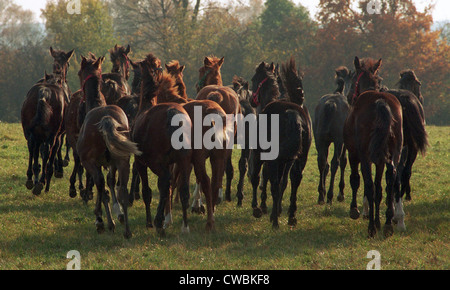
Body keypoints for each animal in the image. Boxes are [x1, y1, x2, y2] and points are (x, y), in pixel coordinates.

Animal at [76, 53, 141, 238]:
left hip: (91, 162)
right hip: (123, 161)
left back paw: (107, 223)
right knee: (123, 191)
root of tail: (106, 118)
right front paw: (118, 213)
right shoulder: (113, 163)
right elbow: (112, 182)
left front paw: (100, 218)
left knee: (101, 186)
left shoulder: (92, 163)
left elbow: (101, 187)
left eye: (79, 73)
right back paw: (127, 230)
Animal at [131, 53, 192, 236]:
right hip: (184, 161)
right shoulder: (171, 163)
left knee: (165, 181)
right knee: (183, 189)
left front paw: (149, 222)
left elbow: (147, 191)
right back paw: (185, 226)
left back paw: (158, 222)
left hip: (155, 163)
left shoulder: (140, 162)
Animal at [246, 57, 312, 229]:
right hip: (300, 159)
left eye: (254, 79)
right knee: (294, 180)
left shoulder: (259, 155)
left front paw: (257, 208)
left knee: (274, 184)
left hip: (274, 159)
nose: (252, 100)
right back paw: (291, 216)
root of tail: (292, 114)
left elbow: (258, 177)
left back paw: (275, 220)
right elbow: (283, 182)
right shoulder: (286, 161)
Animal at [344, 56, 404, 238]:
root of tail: (380, 102)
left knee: (369, 186)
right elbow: (379, 189)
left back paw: (371, 227)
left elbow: (356, 180)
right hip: (393, 154)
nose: (349, 96)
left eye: (353, 78)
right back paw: (387, 224)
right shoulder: (380, 160)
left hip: (364, 156)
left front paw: (355, 210)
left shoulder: (354, 154)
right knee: (390, 179)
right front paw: (378, 221)